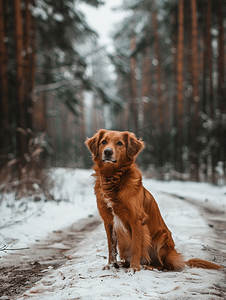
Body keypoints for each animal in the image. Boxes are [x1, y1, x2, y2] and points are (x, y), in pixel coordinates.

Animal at [85, 128, 222, 272]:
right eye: (103, 142)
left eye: (120, 143)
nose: (108, 152)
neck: (113, 178)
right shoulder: (108, 221)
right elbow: (111, 246)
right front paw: (111, 265)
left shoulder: (137, 220)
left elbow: (136, 246)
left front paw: (134, 268)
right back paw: (124, 263)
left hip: (162, 240)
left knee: (164, 265)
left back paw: (147, 265)